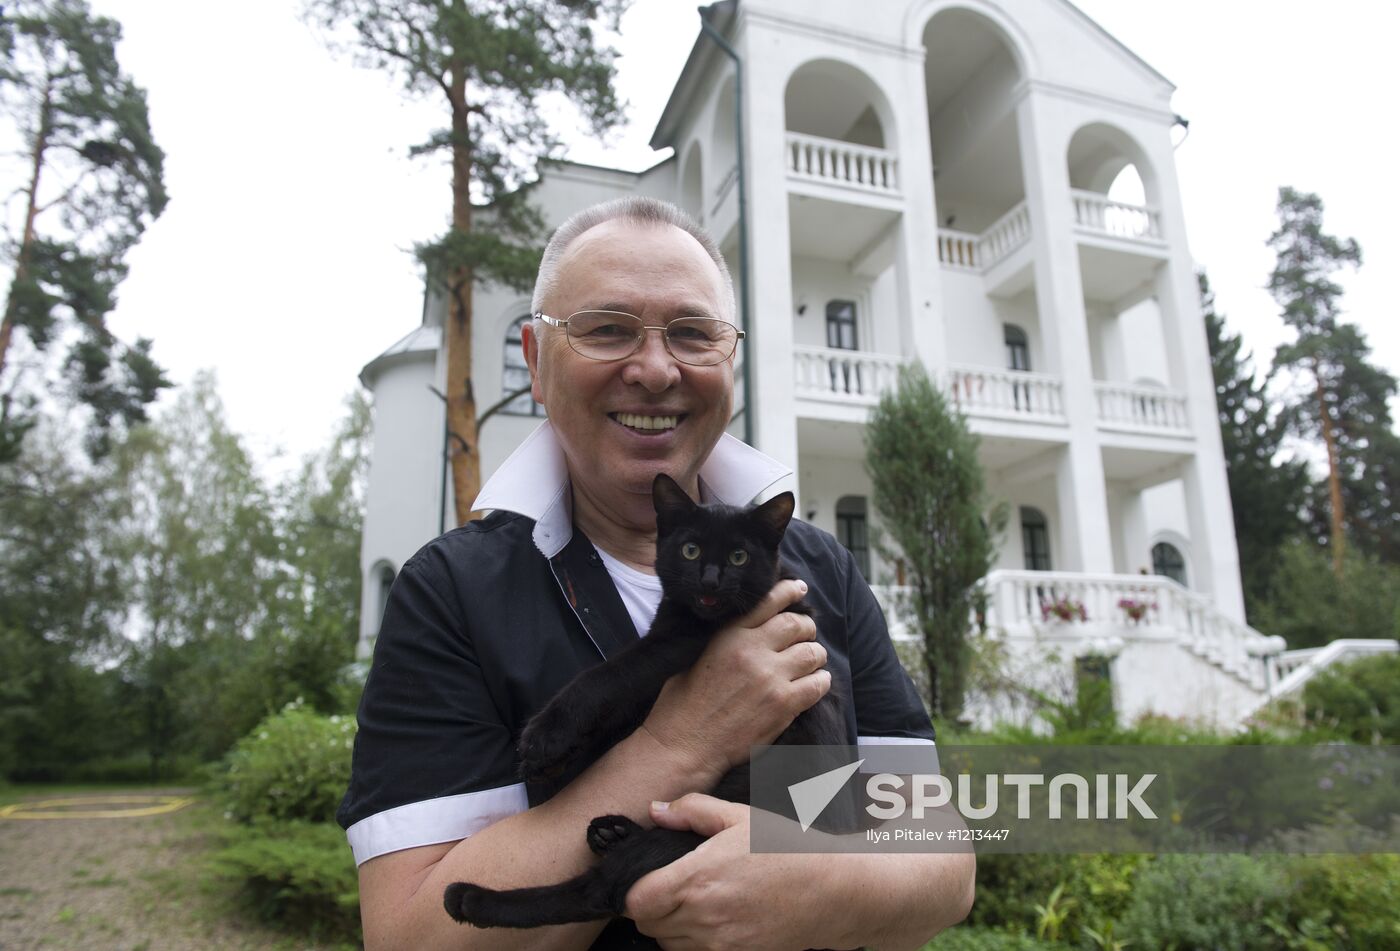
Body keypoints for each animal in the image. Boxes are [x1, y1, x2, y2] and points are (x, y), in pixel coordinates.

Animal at [442, 473, 845, 935]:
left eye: (739, 556)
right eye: (690, 550)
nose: (710, 580)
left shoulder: (673, 645)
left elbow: (606, 677)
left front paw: (544, 740)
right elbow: (617, 711)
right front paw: (551, 759)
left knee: (598, 892)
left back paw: (471, 900)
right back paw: (611, 832)